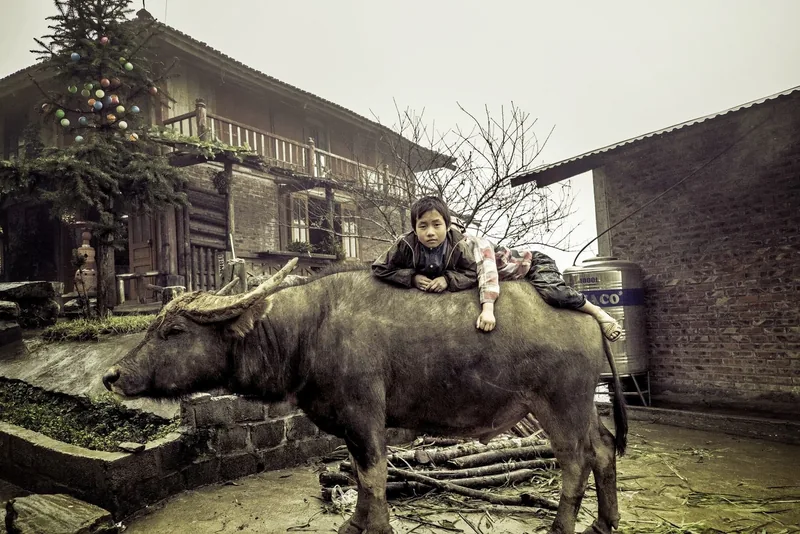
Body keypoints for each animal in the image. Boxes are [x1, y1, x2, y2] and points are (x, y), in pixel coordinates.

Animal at [103, 259, 627, 534]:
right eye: (154, 326)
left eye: (173, 331)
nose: (111, 375)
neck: (309, 329)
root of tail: (589, 317)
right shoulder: (348, 424)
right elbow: (357, 473)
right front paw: (354, 524)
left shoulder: (364, 417)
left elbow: (373, 474)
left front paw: (376, 526)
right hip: (581, 407)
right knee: (603, 448)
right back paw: (604, 522)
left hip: (559, 406)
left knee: (575, 459)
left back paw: (561, 527)